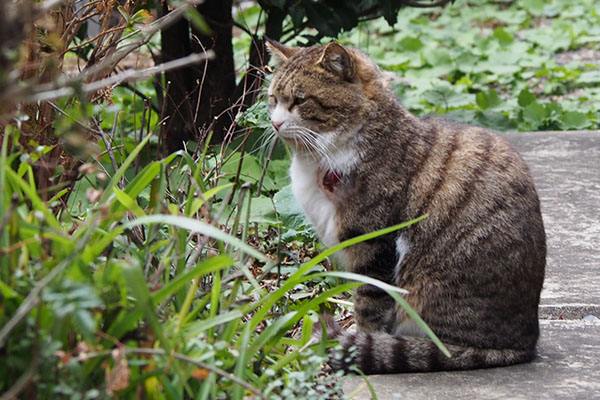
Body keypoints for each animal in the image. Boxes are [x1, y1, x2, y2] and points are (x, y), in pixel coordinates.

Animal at [264, 39, 548, 374]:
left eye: (300, 100)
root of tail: (523, 343)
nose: (275, 123)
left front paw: (360, 341)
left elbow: (369, 305)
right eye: (273, 99)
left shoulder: (373, 246)